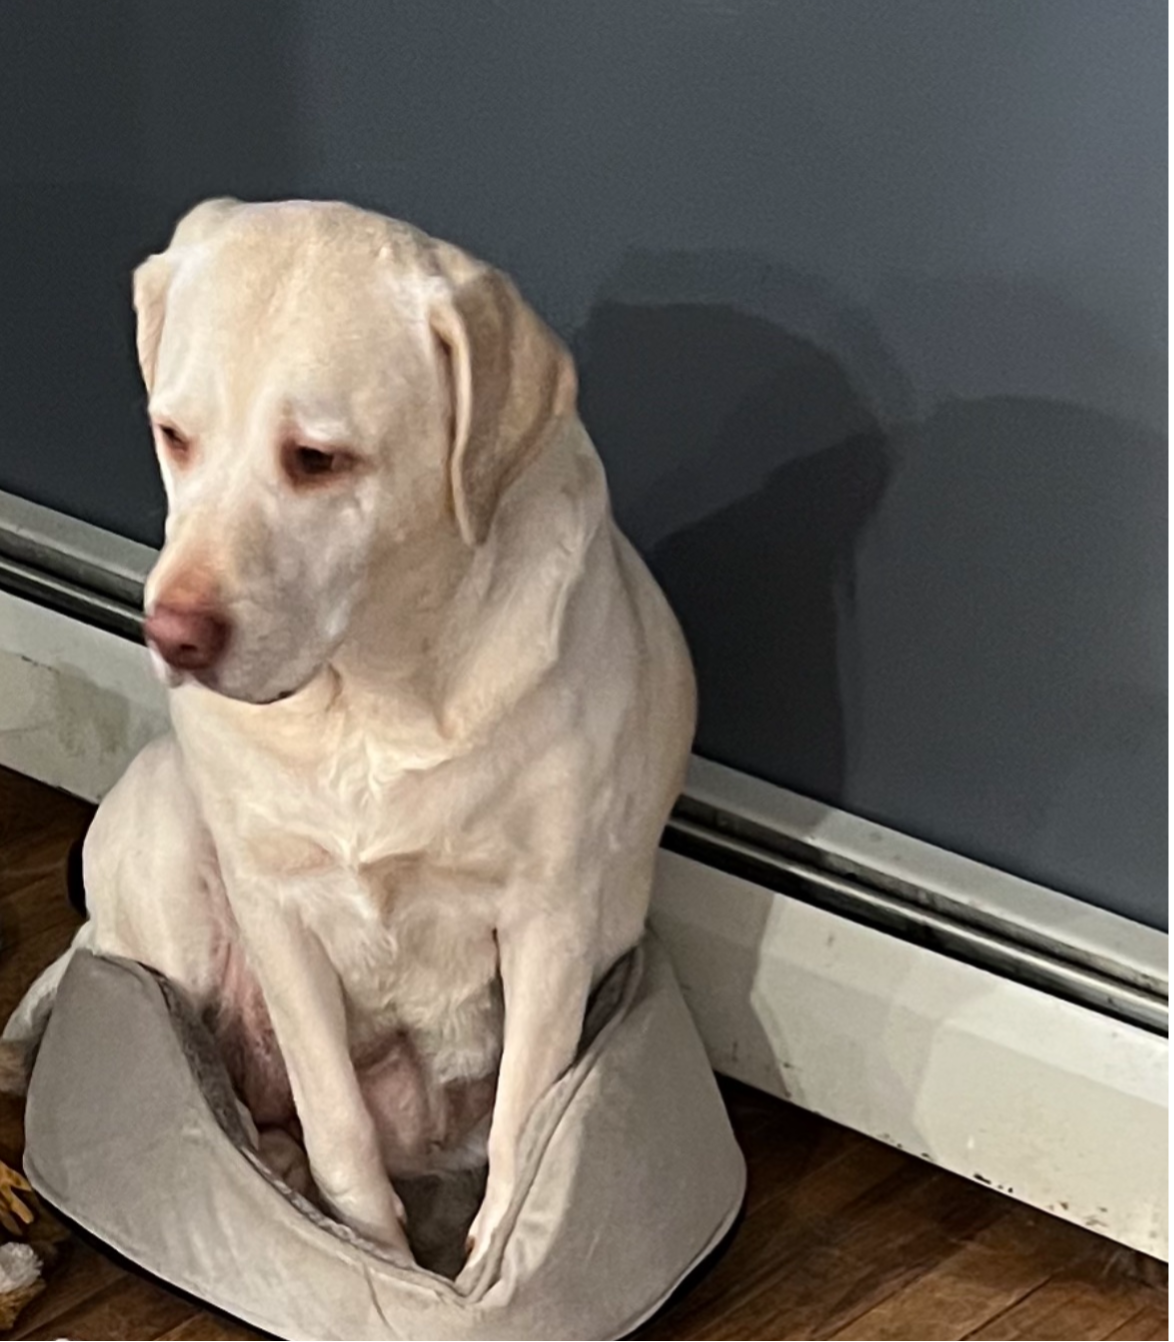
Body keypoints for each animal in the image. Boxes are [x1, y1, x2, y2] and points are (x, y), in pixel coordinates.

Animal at [2, 199, 696, 1271]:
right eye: (174, 435)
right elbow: (336, 1124)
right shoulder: (278, 907)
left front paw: (486, 1270)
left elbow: (522, 1133)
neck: (367, 698)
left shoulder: (549, 921)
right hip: (169, 858)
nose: (172, 632)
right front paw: (370, 1252)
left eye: (317, 459)